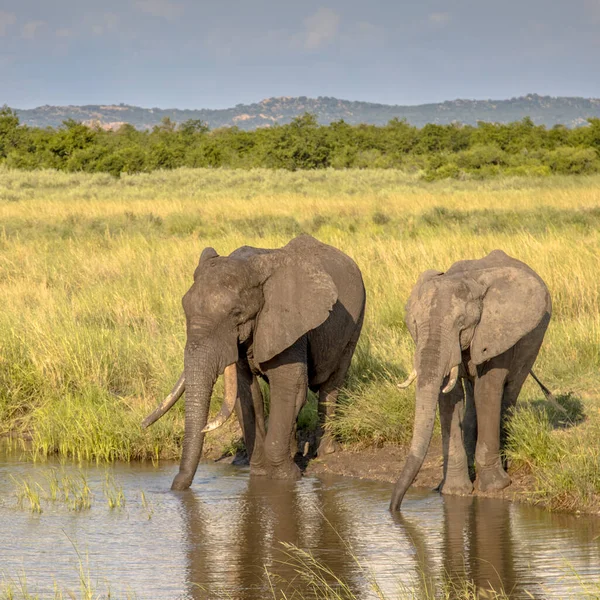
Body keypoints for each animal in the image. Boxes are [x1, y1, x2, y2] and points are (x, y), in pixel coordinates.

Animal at [142, 232, 366, 490]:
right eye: (184, 309)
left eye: (236, 314)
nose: (176, 487)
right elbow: (246, 394)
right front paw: (260, 474)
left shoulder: (288, 323)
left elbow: (290, 387)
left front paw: (286, 478)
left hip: (356, 320)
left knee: (332, 384)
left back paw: (327, 451)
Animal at [390, 248, 552, 510]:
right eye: (413, 323)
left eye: (461, 323)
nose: (394, 509)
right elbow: (448, 397)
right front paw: (454, 491)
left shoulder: (495, 331)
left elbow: (488, 388)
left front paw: (494, 487)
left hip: (534, 339)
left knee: (509, 393)